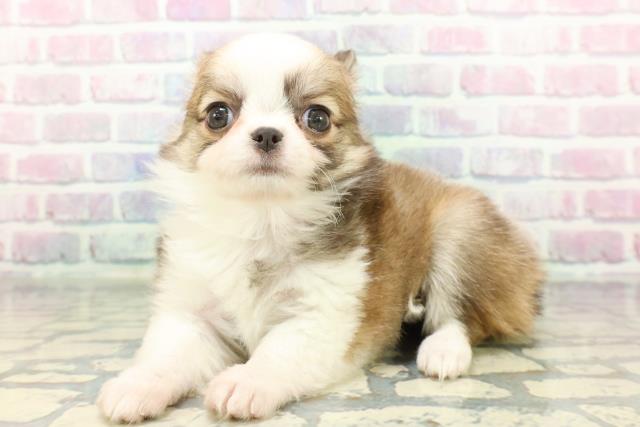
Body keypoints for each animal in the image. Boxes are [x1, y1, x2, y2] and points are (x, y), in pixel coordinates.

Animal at [97, 33, 543, 422]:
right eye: (218, 115)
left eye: (317, 118)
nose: (266, 134)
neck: (262, 218)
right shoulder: (191, 313)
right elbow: (168, 355)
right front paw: (137, 385)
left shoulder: (322, 316)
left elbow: (278, 350)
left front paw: (247, 381)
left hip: (462, 230)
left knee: (462, 318)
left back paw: (444, 352)